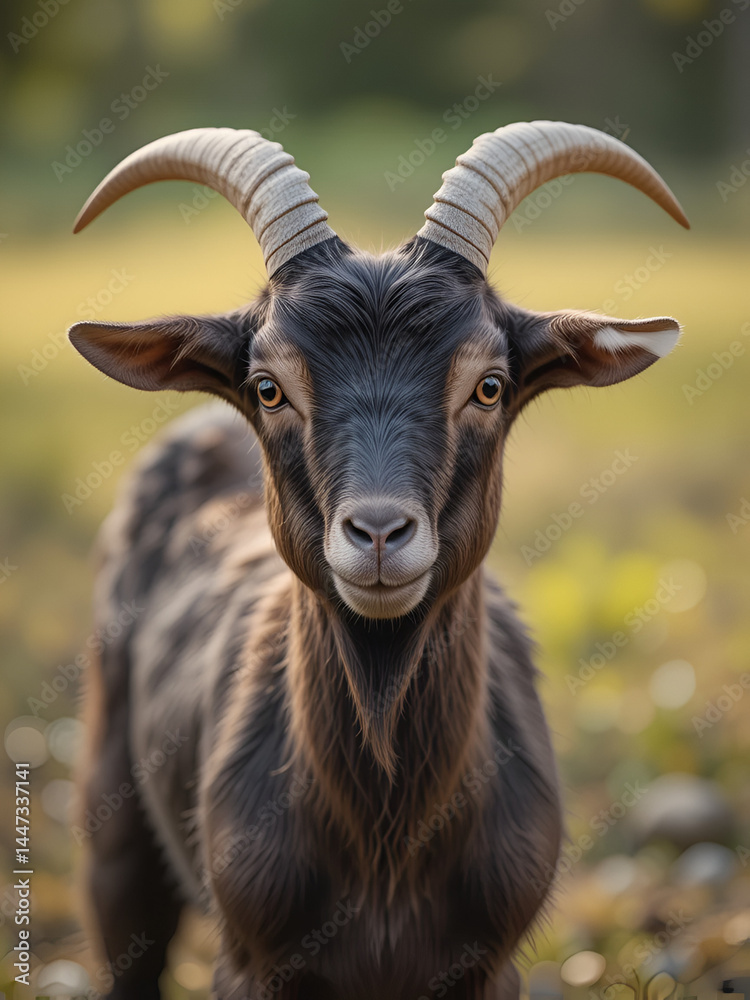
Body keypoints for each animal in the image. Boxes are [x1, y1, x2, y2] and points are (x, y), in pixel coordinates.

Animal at [68, 122, 688, 1000]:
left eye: (489, 385)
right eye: (269, 387)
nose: (380, 534)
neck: (386, 845)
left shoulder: (489, 966)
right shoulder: (250, 961)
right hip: (113, 832)